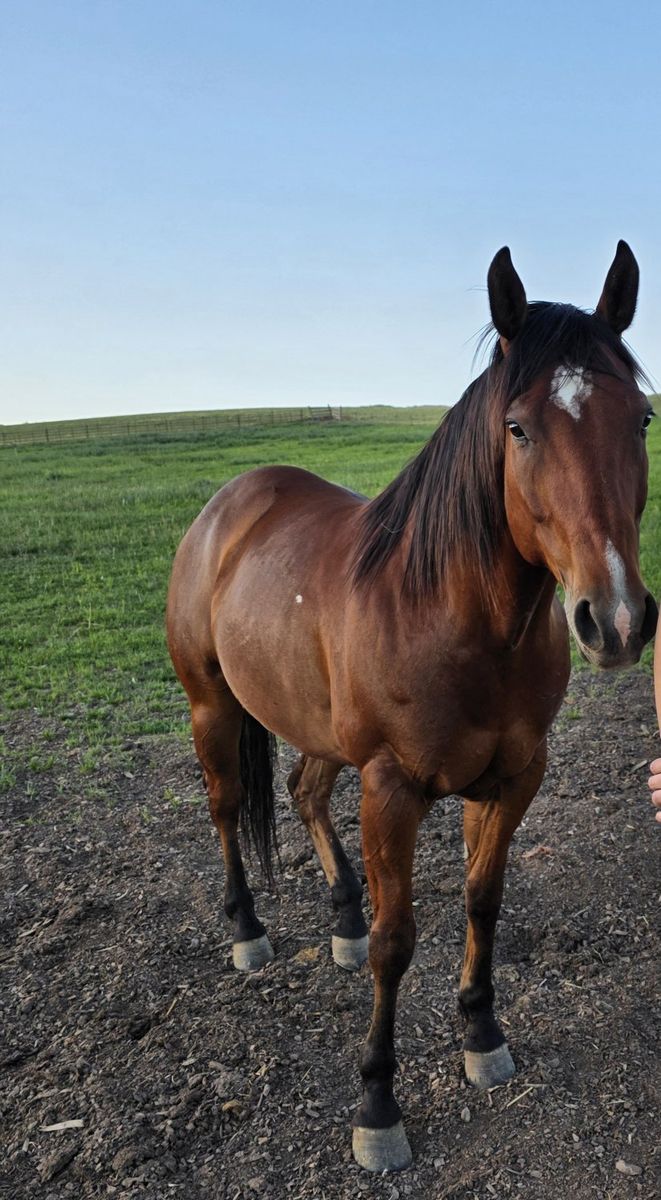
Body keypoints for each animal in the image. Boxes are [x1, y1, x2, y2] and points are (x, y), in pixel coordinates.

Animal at [166, 241, 657, 1172]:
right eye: (517, 428)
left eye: (642, 419)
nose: (614, 621)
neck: (454, 617)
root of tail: (230, 503)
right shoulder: (390, 789)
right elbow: (398, 946)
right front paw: (377, 1105)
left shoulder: (512, 778)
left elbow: (481, 901)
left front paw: (481, 1035)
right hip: (212, 705)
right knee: (224, 806)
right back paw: (247, 929)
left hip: (320, 732)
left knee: (303, 793)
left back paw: (341, 919)